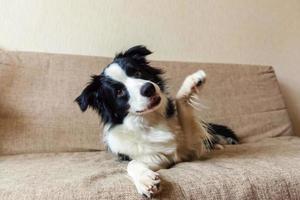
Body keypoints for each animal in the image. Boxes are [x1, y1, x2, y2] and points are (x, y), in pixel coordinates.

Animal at [75, 45, 239, 198]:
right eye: (119, 92)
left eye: (137, 72)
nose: (148, 88)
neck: (150, 120)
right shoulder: (158, 157)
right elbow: (132, 164)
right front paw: (144, 180)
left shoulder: (188, 147)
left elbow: (180, 103)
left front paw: (192, 82)